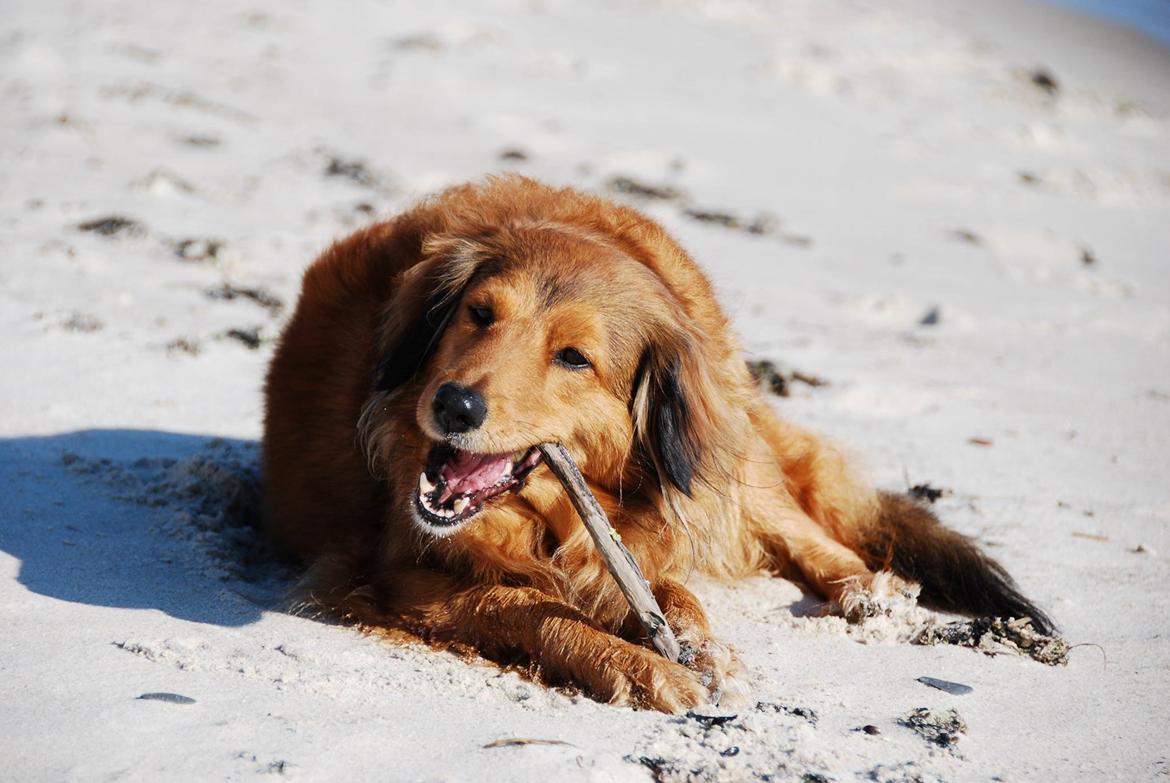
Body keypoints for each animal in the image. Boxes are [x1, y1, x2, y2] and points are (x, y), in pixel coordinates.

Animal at [263, 174, 1053, 711]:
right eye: (479, 314)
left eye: (573, 357)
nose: (453, 405)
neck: (552, 519)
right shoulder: (399, 573)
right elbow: (523, 606)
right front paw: (644, 665)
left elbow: (668, 586)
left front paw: (692, 643)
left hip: (733, 449)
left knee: (804, 527)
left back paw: (866, 591)